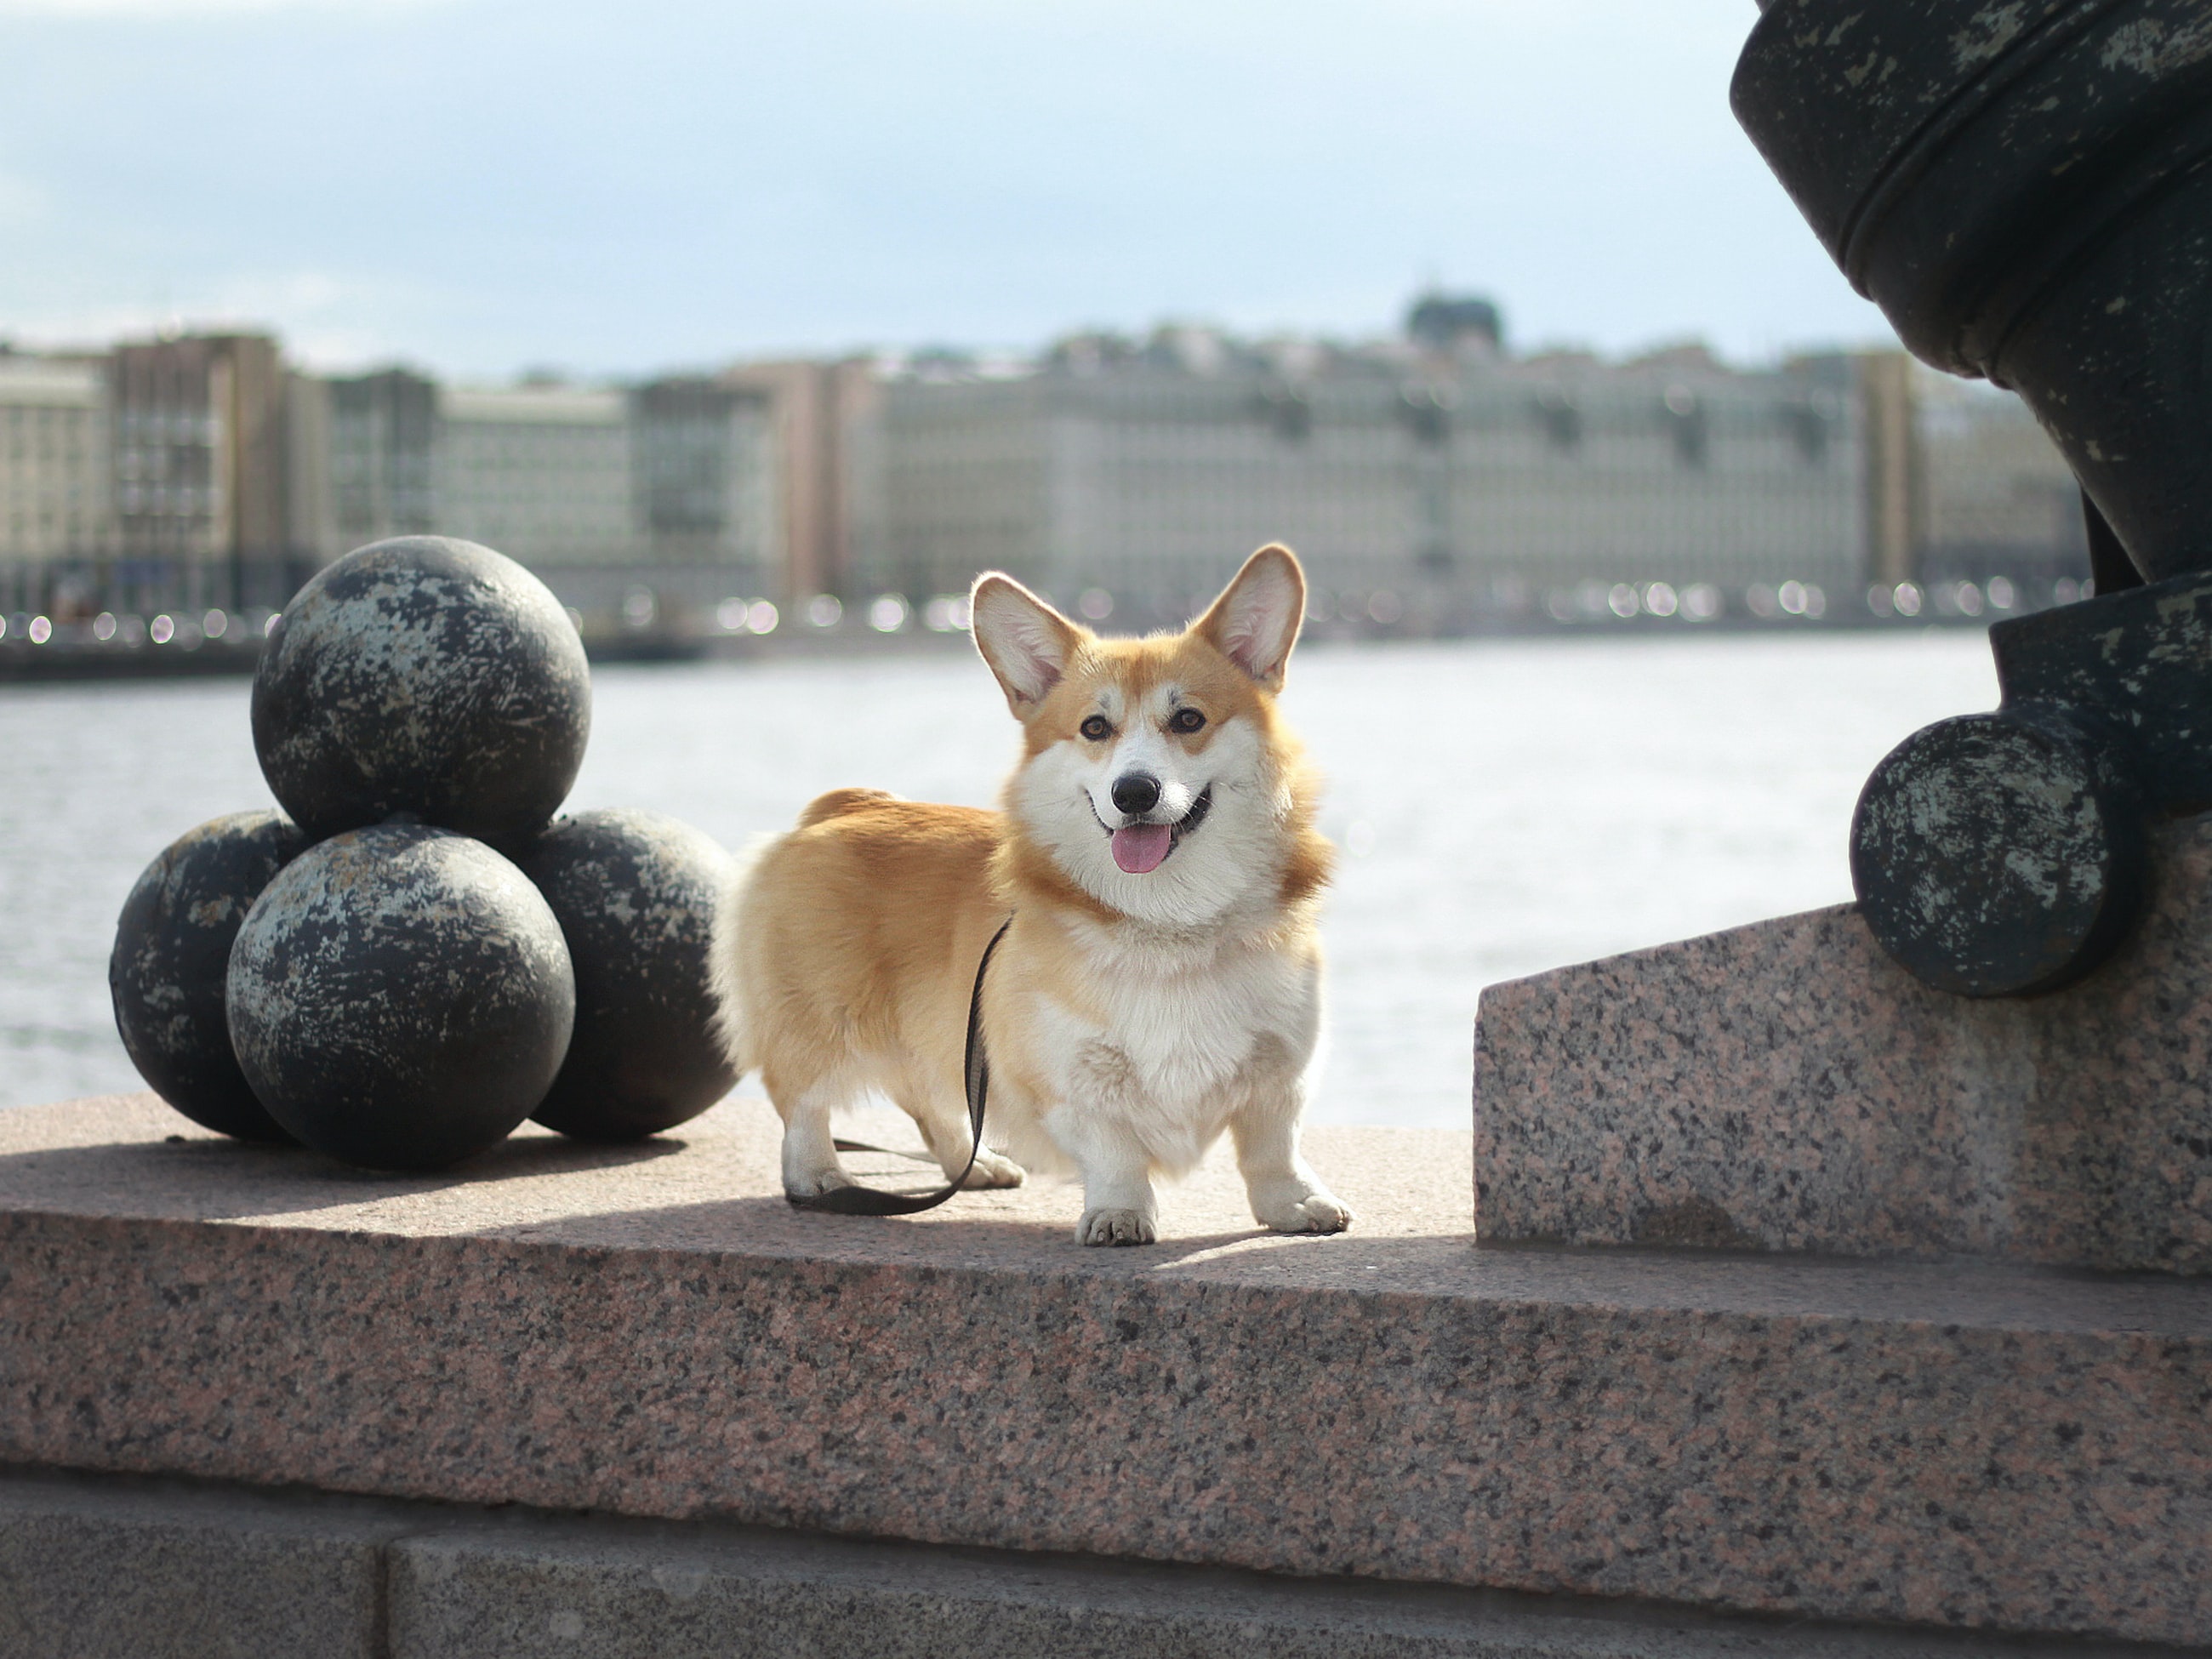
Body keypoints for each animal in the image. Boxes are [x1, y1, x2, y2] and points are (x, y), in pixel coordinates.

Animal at [725, 546, 1344, 1247]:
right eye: (1095, 728)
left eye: (1189, 719)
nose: (1134, 792)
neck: (1168, 920)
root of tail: (847, 805)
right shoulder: (1070, 1073)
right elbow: (1115, 1151)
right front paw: (1119, 1214)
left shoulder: (1281, 1067)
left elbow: (1274, 1147)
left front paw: (1294, 1204)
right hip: (820, 1020)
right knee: (803, 1103)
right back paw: (820, 1177)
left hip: (937, 1028)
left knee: (927, 1099)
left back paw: (975, 1165)